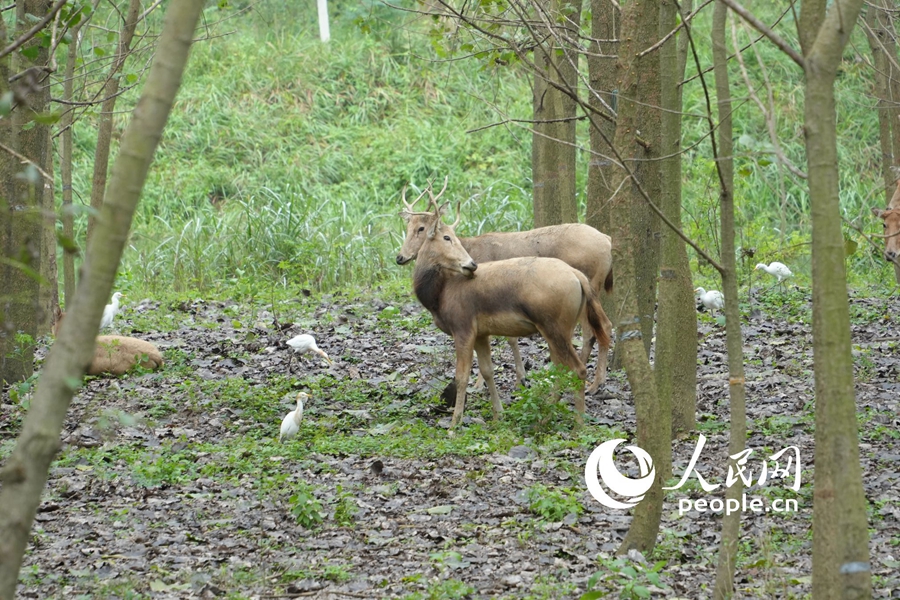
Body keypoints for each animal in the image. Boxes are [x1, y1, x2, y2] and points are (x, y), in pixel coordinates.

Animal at [411, 199, 612, 428]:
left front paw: (454, 424)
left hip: (555, 326)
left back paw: (578, 422)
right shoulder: (481, 333)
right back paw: (545, 417)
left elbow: (461, 376)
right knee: (563, 367)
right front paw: (498, 415)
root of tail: (578, 276)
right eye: (446, 237)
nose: (471, 265)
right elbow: (488, 371)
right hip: (562, 327)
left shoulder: (463, 327)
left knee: (577, 367)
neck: (438, 295)